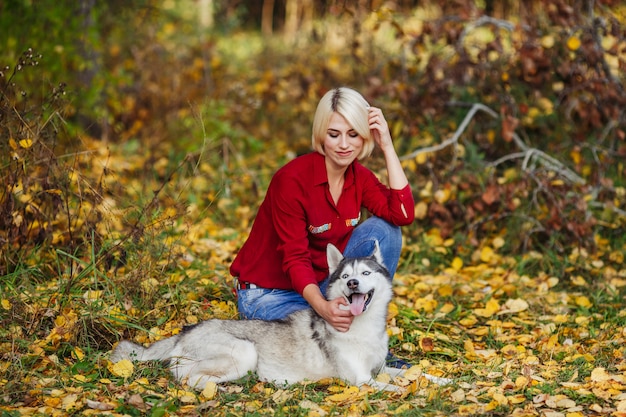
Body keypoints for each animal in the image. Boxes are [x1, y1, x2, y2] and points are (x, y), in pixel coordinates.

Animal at [111, 242, 444, 392]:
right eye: (345, 276)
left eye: (364, 274)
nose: (352, 283)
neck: (363, 329)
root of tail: (185, 330)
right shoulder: (361, 380)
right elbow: (403, 387)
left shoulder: (380, 368)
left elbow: (416, 375)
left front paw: (442, 380)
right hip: (244, 352)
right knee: (186, 377)